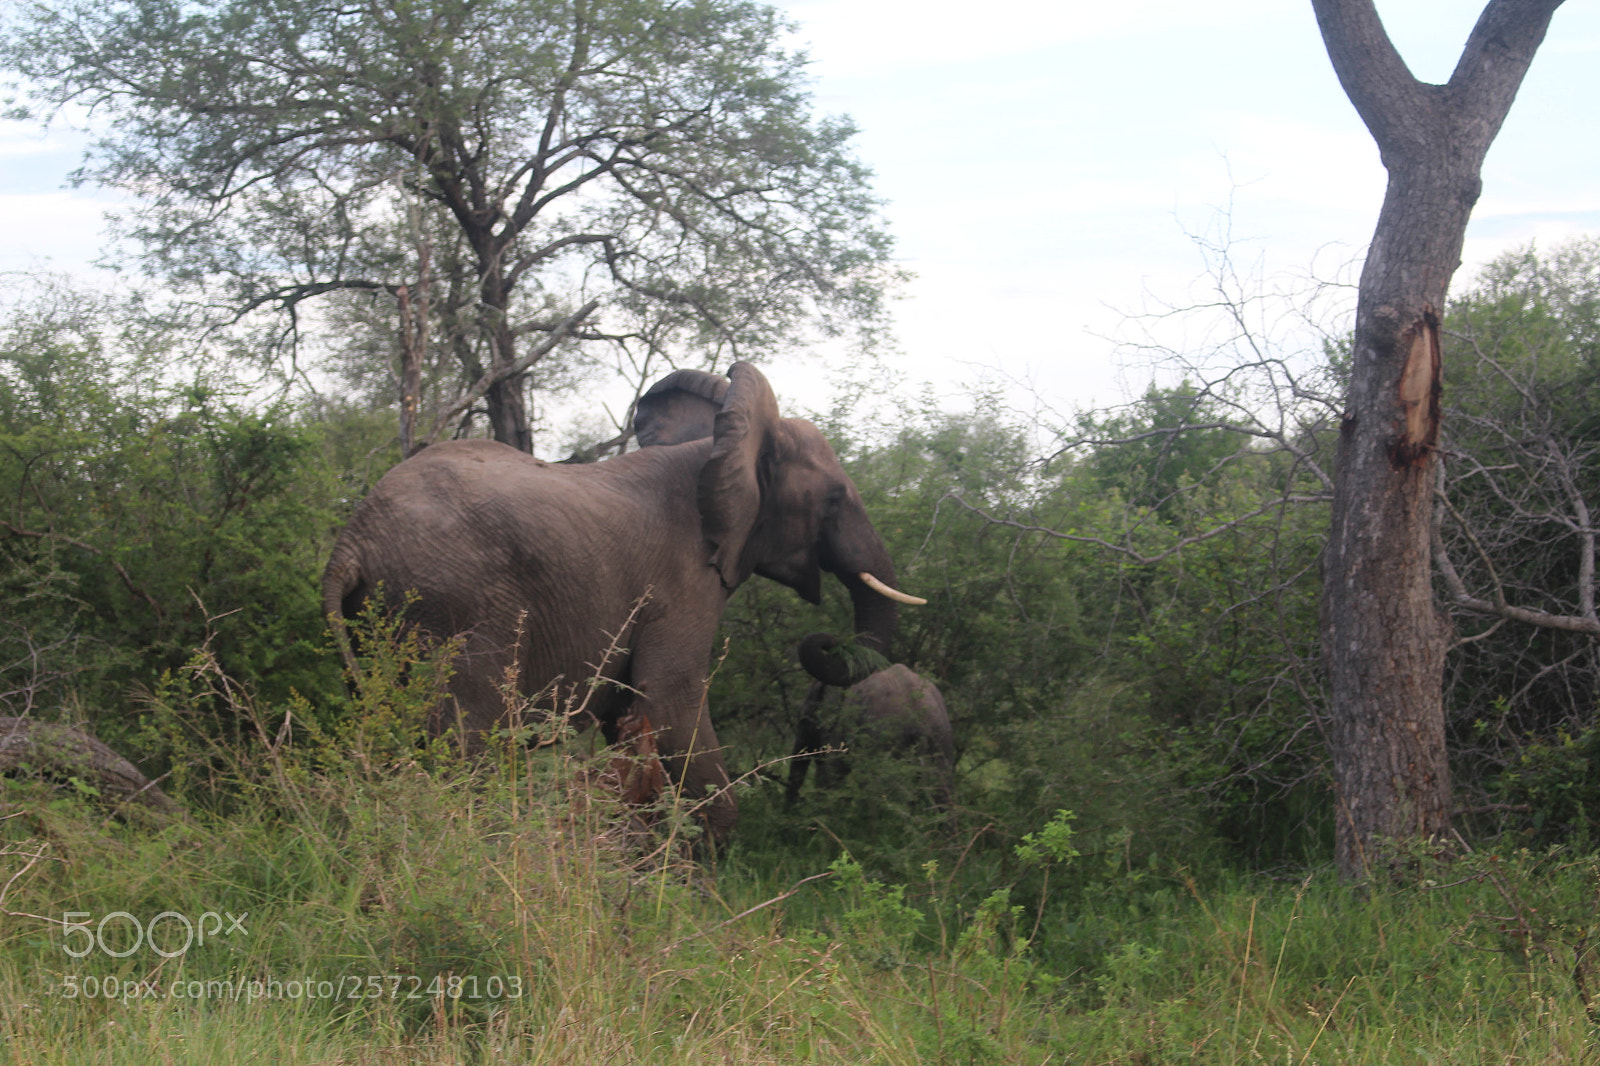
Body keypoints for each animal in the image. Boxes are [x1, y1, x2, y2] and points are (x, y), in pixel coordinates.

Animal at [321, 361, 923, 842]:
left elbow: (633, 717)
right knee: (466, 747)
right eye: (834, 499)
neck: (720, 445)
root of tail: (351, 541)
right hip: (459, 610)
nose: (824, 639)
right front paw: (702, 873)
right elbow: (669, 699)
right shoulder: (681, 584)